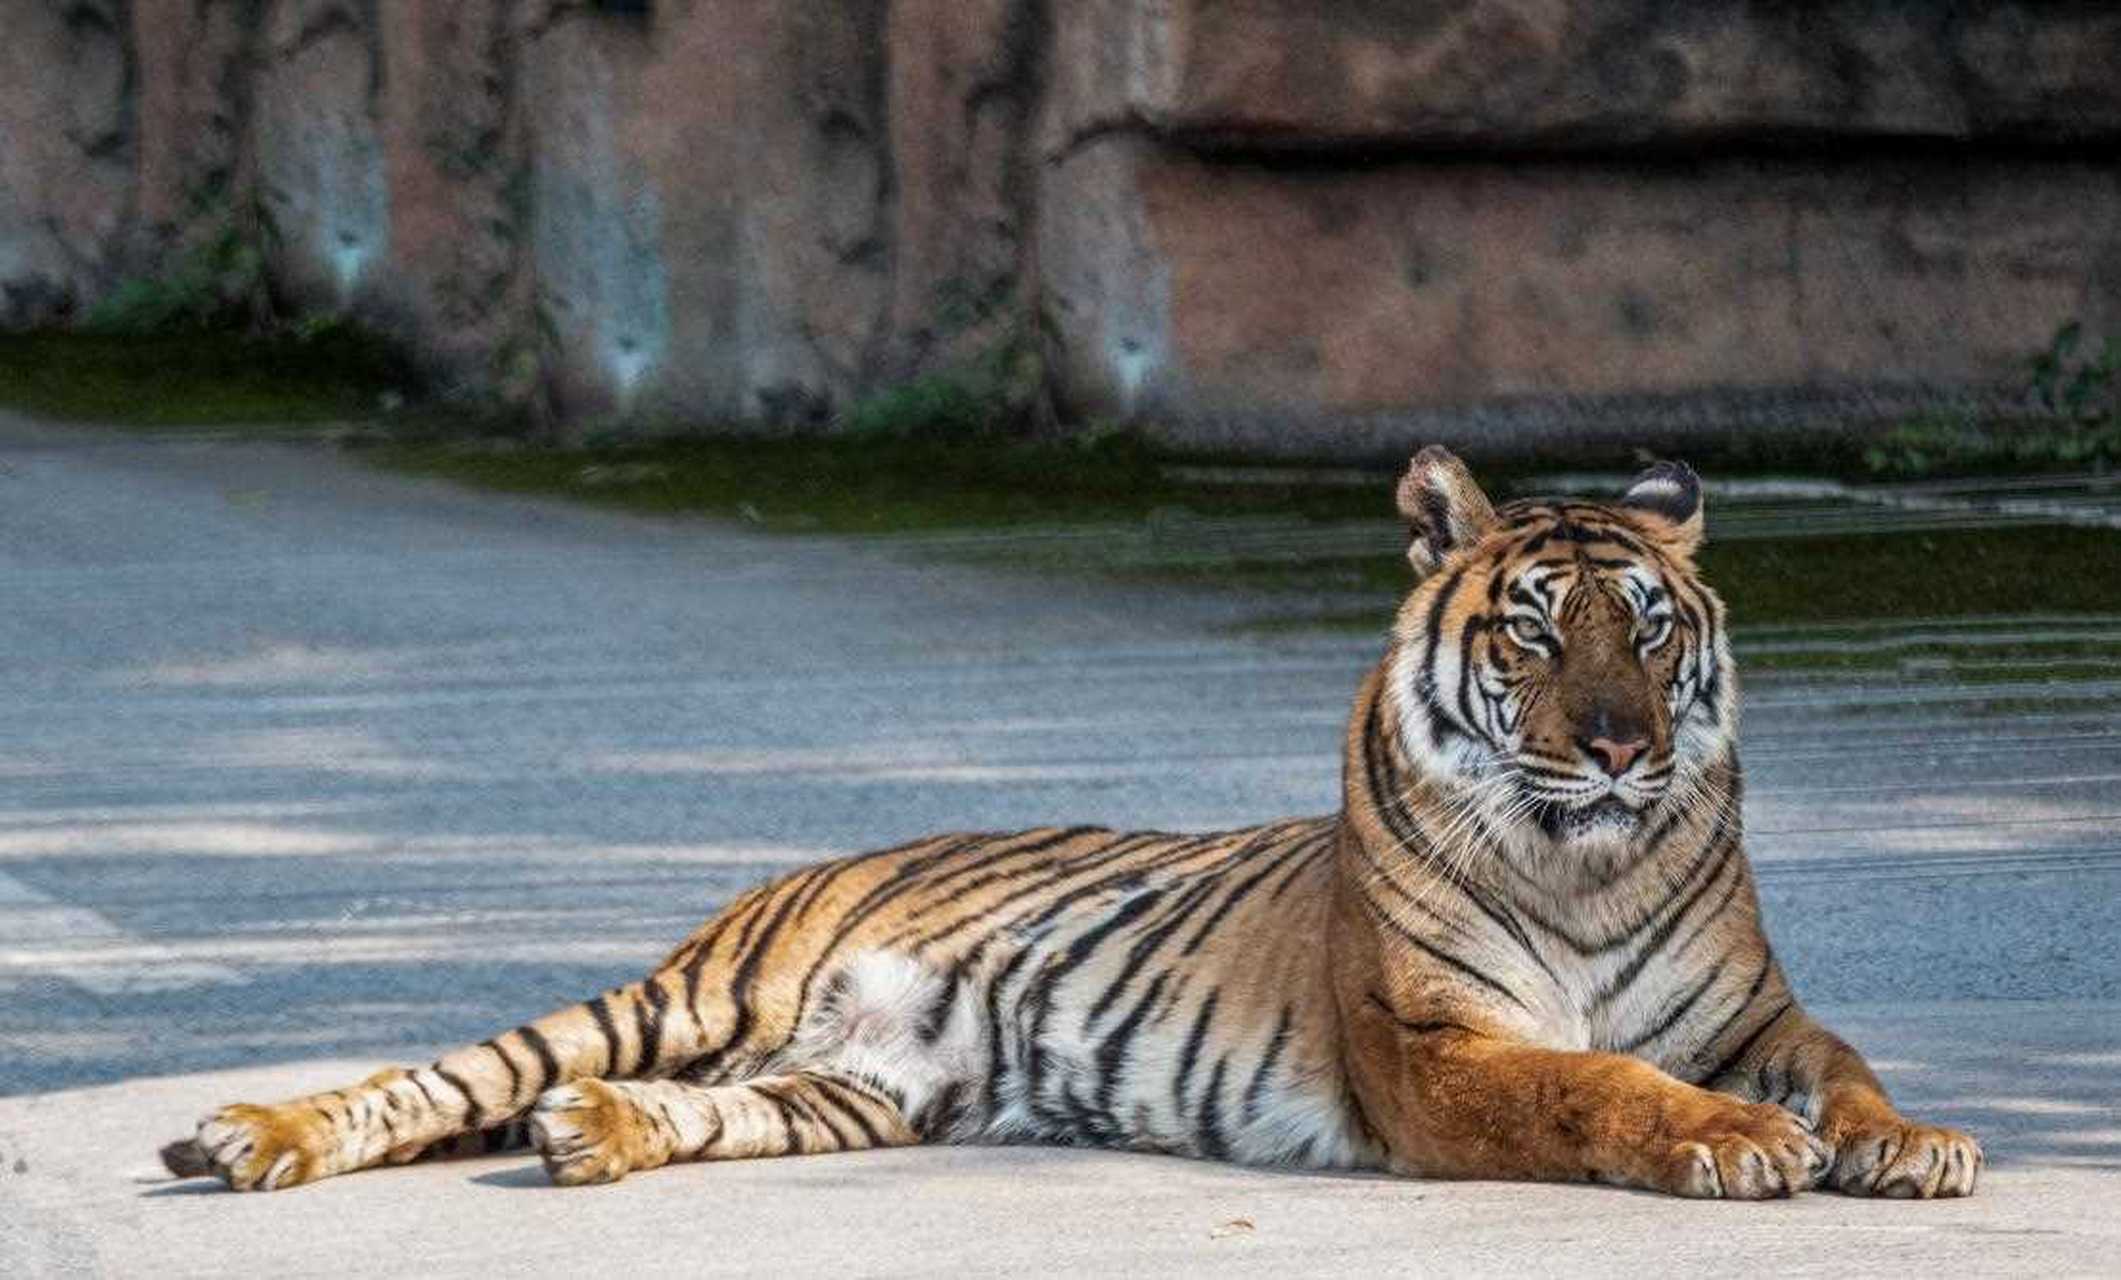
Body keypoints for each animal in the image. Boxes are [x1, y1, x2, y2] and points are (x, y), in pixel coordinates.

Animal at [156, 447, 1976, 1205]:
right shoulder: (1435, 1051)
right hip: (687, 992)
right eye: (1533, 633)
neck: (1585, 862)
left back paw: (589, 1137)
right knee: (437, 1077)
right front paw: (1733, 1147)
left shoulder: (1753, 1015)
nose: (1617, 747)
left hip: (851, 1090)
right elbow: (1596, 1084)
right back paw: (246, 1139)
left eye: (1651, 631)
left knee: (684, 1113)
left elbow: (1848, 1069)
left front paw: (1908, 1146)